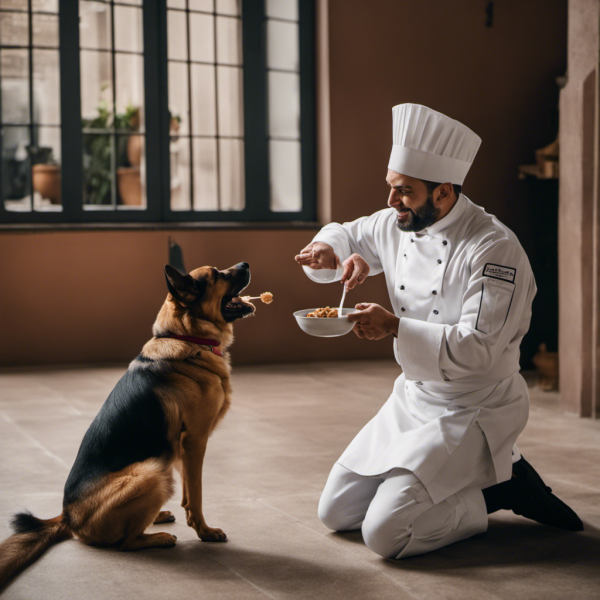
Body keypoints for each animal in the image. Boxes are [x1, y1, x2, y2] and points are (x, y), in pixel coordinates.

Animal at [0, 264, 255, 592]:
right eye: (215, 275)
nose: (245, 265)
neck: (187, 337)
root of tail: (68, 518)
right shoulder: (195, 441)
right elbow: (197, 495)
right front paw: (205, 531)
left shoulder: (184, 448)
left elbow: (188, 494)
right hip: (152, 473)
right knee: (125, 543)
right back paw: (158, 538)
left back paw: (158, 517)